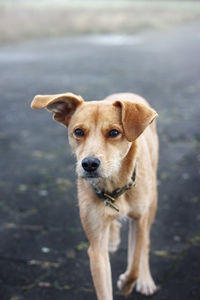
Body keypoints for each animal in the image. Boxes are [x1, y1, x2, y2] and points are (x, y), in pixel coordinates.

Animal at [31, 92, 159, 298]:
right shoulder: (96, 245)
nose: (89, 164)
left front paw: (126, 284)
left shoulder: (139, 220)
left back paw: (145, 280)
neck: (114, 186)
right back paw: (113, 239)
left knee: (145, 244)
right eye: (78, 132)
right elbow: (104, 287)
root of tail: (128, 94)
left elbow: (135, 263)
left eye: (114, 132)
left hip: (153, 201)